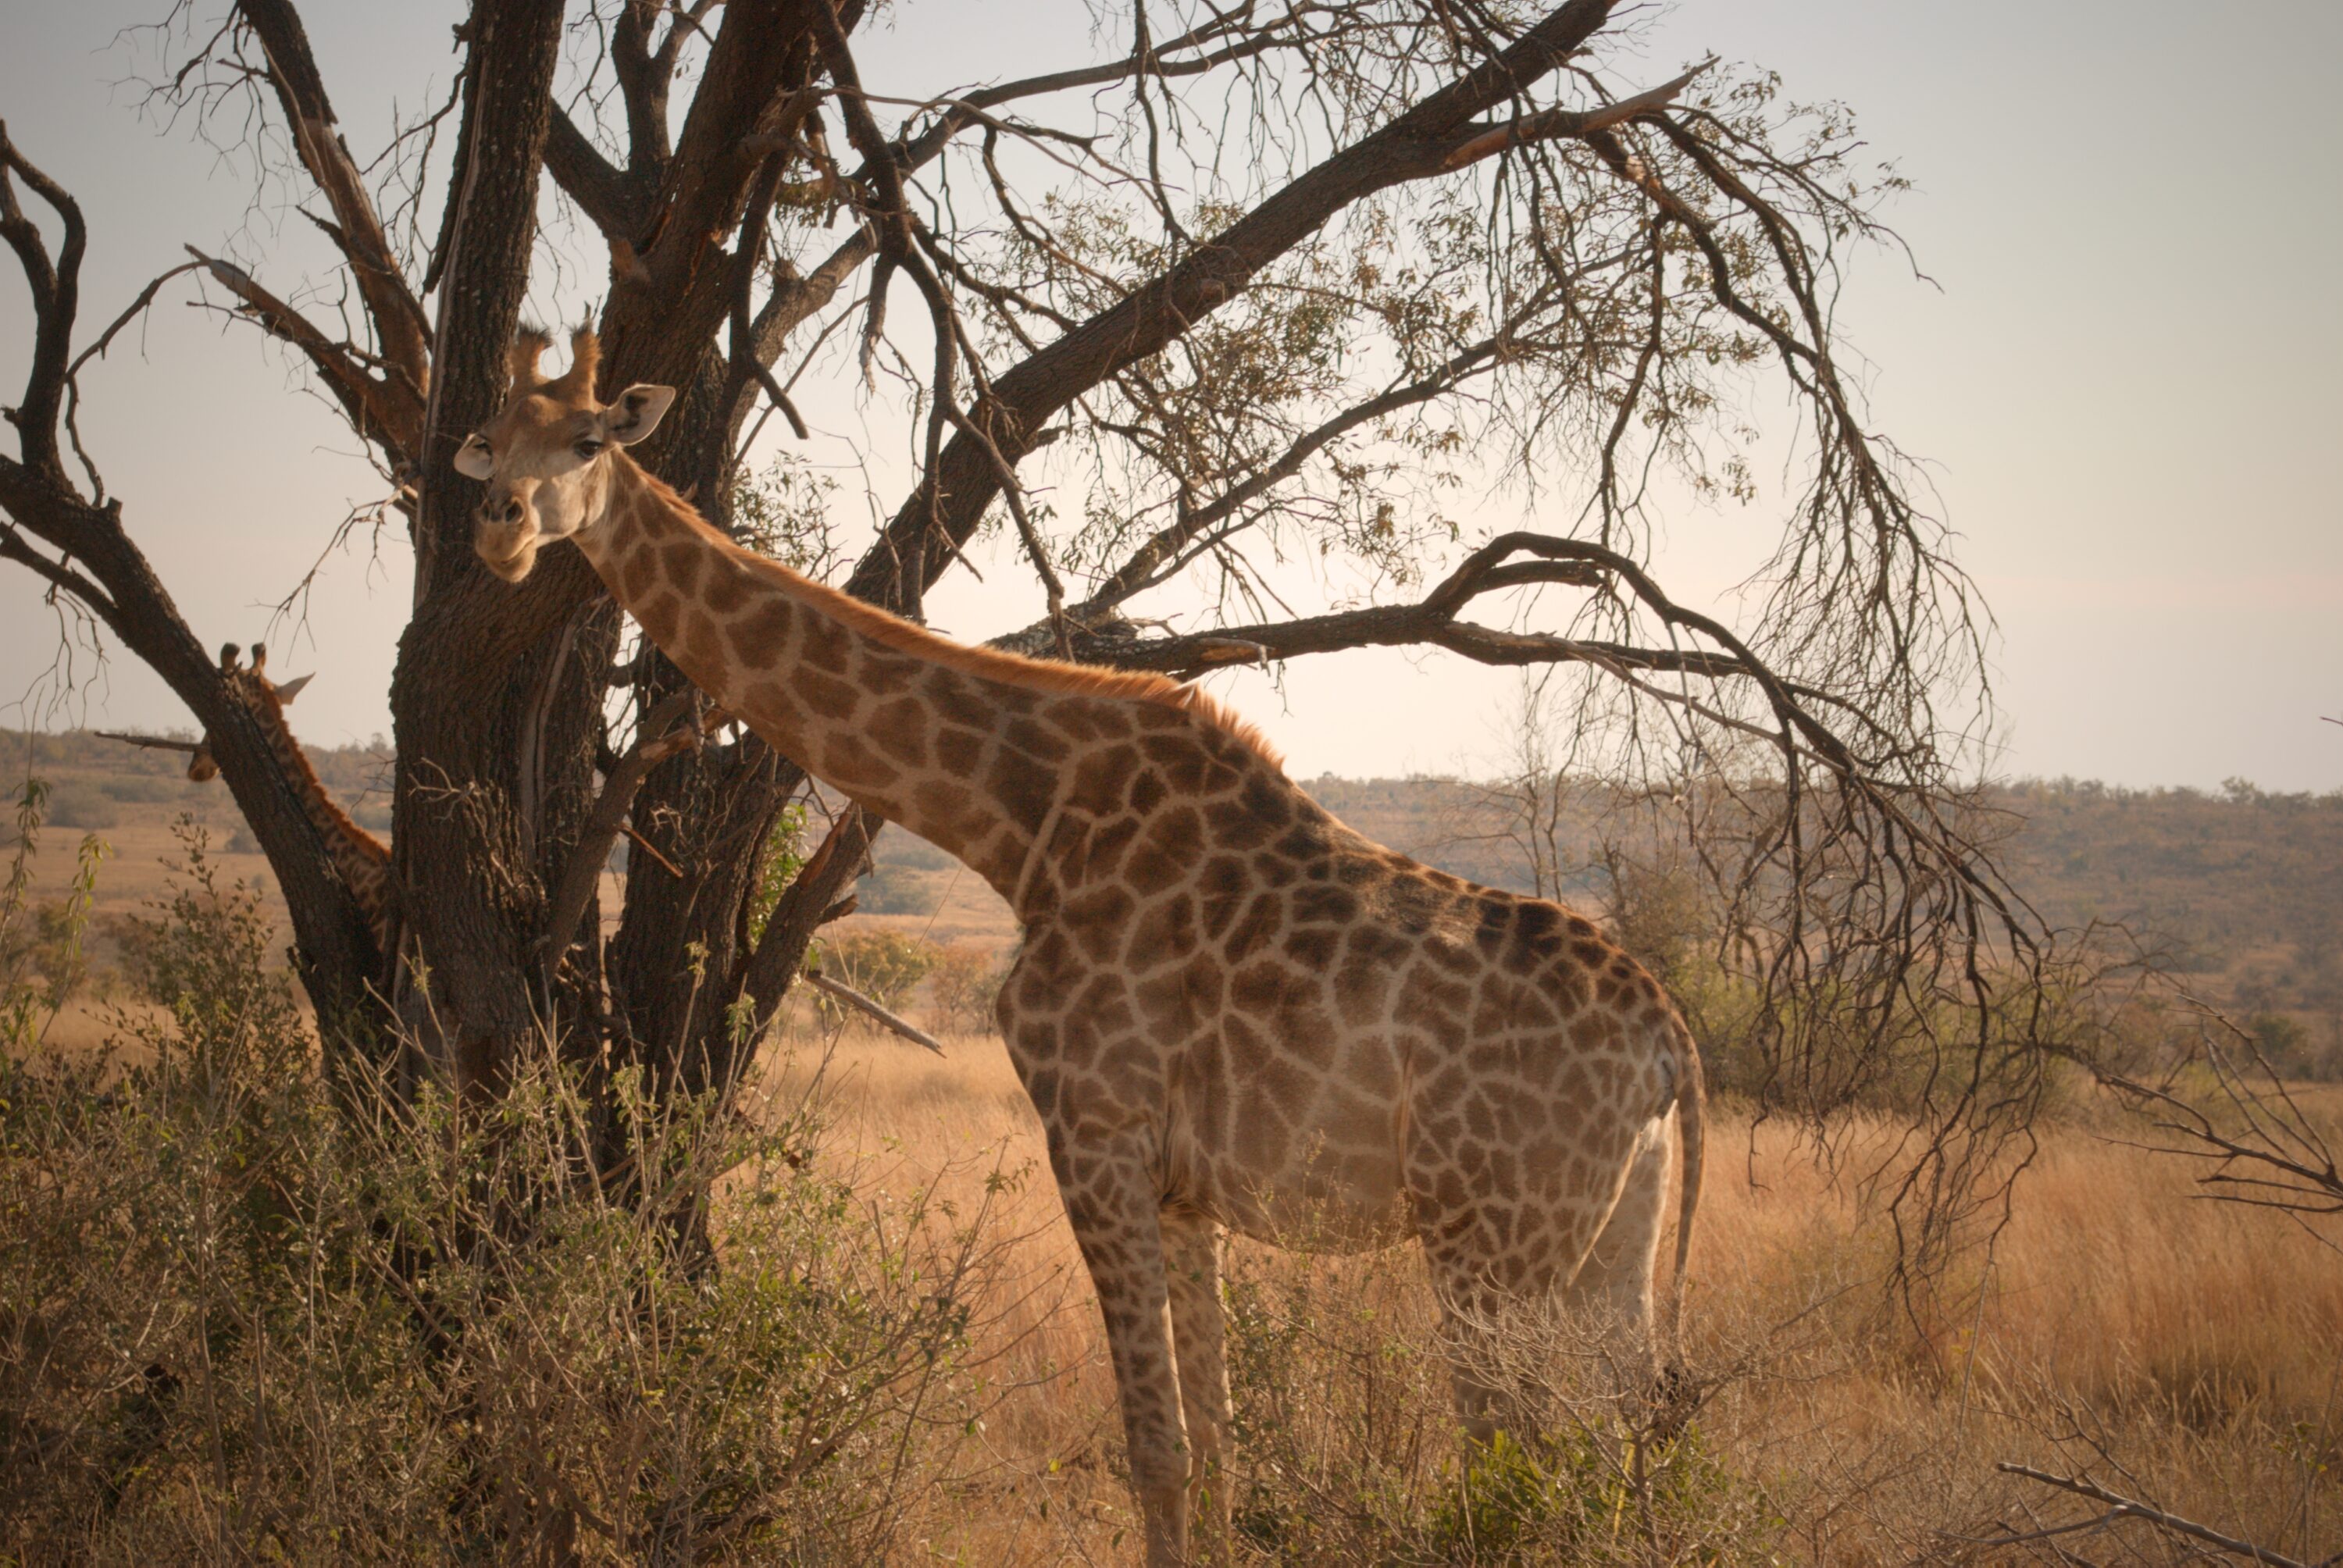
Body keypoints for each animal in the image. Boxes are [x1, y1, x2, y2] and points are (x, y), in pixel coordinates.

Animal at [456, 329, 1706, 1566]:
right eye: (491, 439)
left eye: (586, 439)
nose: (500, 528)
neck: (1023, 822)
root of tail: (1670, 1044)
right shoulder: (1185, 1187)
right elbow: (1221, 1445)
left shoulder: (1092, 1129)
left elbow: (1157, 1447)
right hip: (1608, 1237)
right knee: (1621, 1446)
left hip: (1491, 1239)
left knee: (1524, 1457)